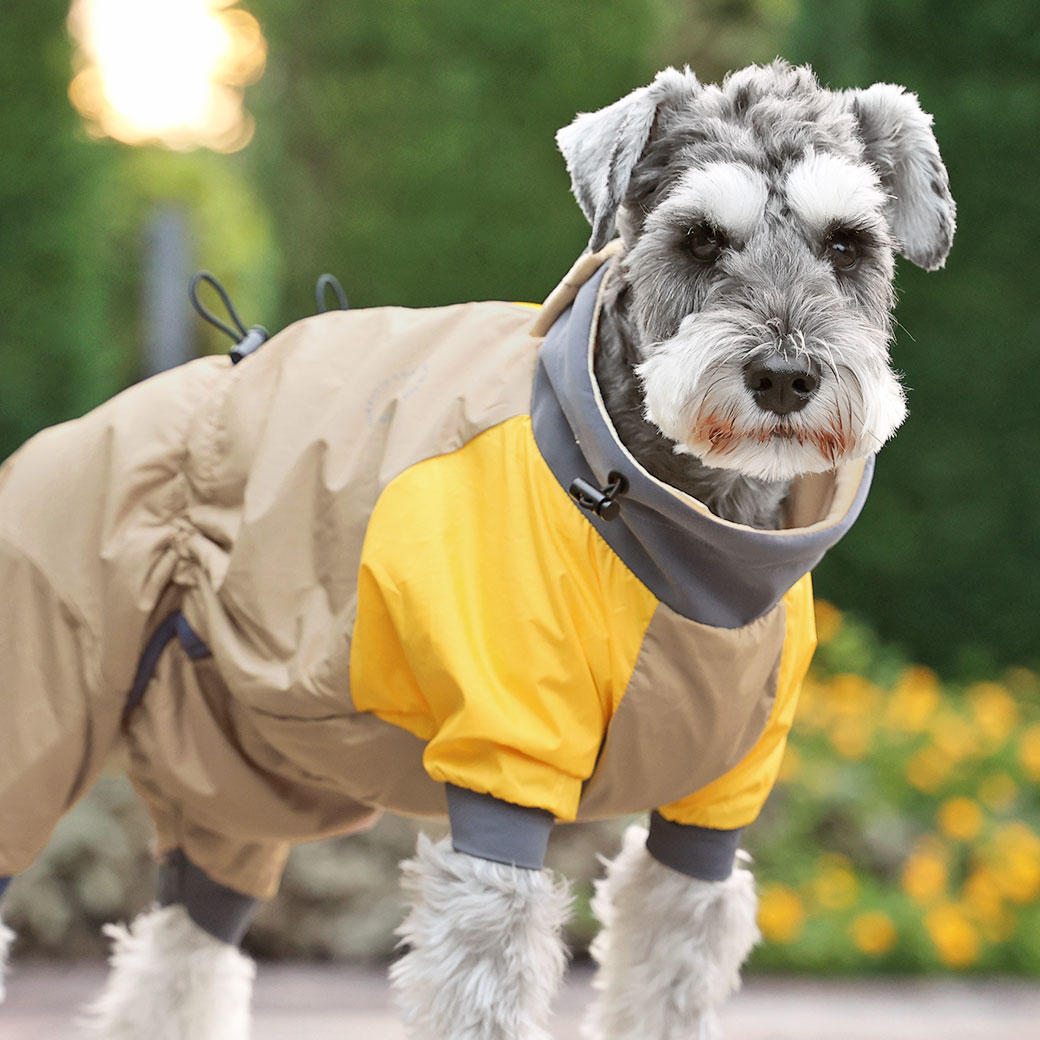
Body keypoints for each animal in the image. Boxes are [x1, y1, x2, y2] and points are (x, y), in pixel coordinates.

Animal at [0, 60, 952, 1035]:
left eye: (847, 244)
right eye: (698, 240)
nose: (785, 378)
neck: (680, 534)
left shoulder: (711, 817)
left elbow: (666, 985)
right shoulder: (504, 773)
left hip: (246, 776)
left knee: (183, 946)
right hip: (41, 710)